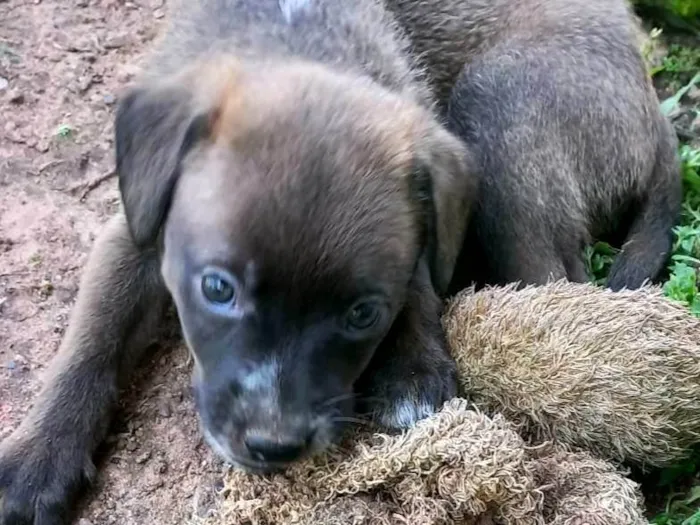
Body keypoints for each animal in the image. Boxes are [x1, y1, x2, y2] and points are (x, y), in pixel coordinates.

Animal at [0, 2, 478, 520]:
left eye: (363, 314)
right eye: (217, 289)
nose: (274, 446)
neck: (295, 44)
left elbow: (422, 275)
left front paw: (414, 363)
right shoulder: (133, 231)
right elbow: (92, 341)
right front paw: (37, 459)